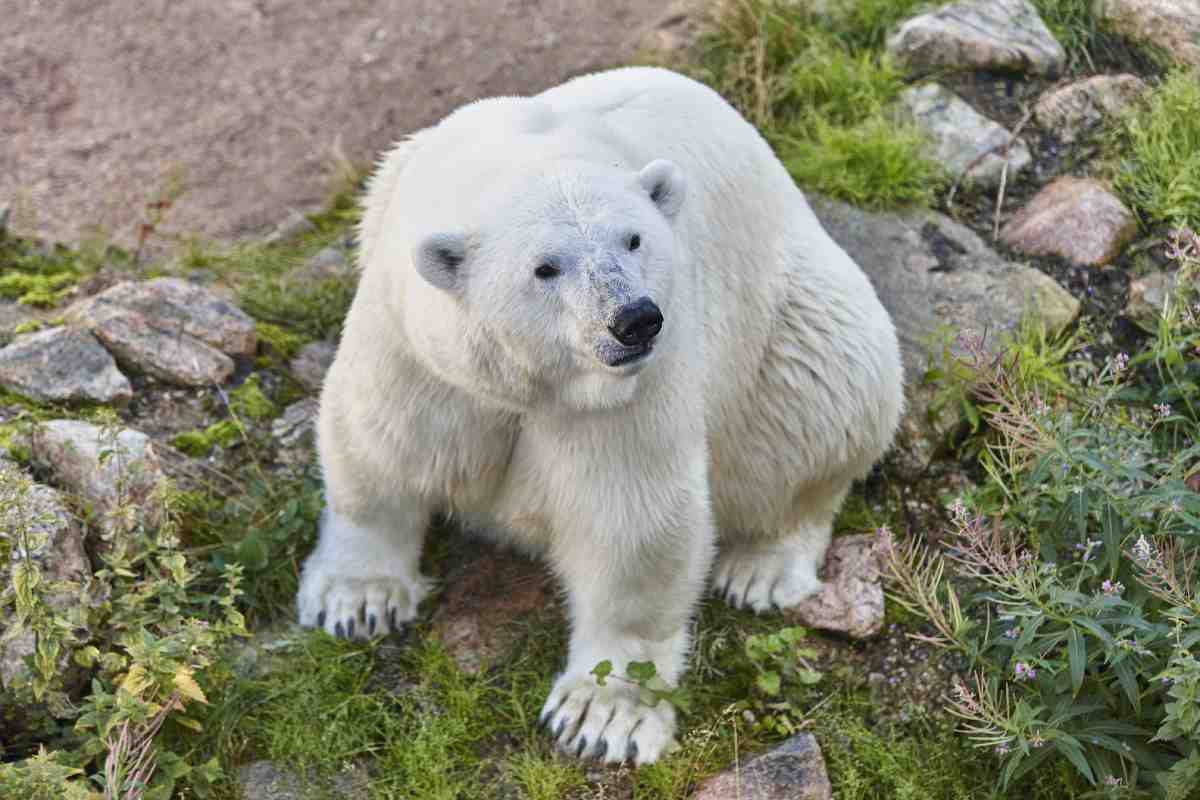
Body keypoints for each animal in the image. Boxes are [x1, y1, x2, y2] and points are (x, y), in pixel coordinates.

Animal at [296, 66, 904, 765]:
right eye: (545, 267)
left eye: (633, 239)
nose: (635, 319)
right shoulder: (417, 342)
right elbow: (384, 442)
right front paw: (357, 600)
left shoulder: (634, 386)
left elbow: (630, 518)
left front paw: (601, 715)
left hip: (789, 322)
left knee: (821, 399)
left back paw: (762, 568)